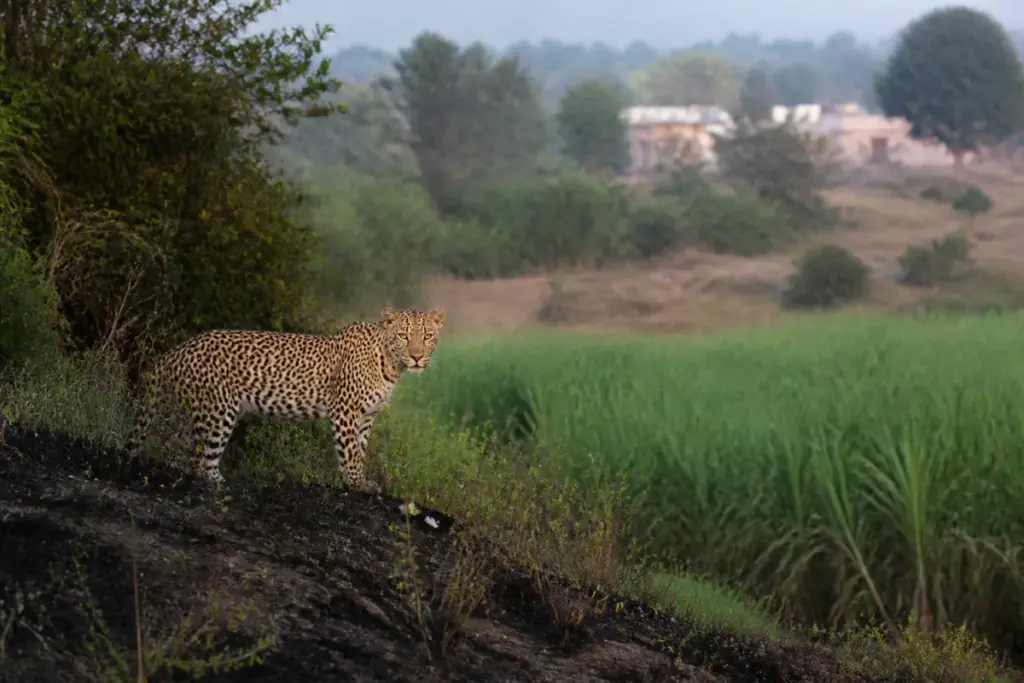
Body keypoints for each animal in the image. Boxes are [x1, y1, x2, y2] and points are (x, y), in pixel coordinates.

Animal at [125, 307, 446, 492]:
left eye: (428, 336)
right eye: (403, 336)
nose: (417, 357)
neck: (391, 365)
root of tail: (179, 348)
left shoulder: (366, 416)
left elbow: (360, 448)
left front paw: (354, 481)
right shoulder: (345, 410)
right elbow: (351, 451)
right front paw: (357, 483)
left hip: (188, 410)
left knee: (174, 446)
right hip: (218, 412)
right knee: (202, 459)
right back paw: (218, 482)